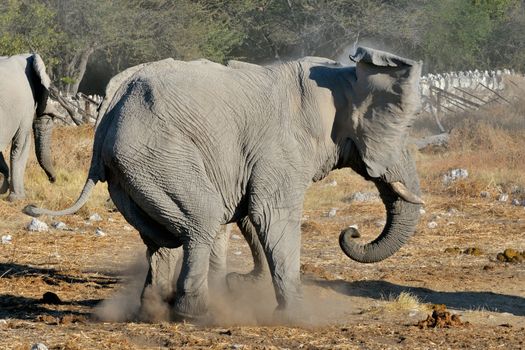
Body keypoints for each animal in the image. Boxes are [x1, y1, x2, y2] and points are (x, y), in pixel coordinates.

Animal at [26, 47, 424, 322]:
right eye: (397, 129)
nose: (351, 232)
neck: (337, 77)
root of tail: (109, 108)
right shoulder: (280, 148)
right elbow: (269, 214)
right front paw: (298, 316)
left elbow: (249, 214)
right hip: (156, 156)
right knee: (200, 222)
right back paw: (195, 313)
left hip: (129, 175)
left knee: (161, 239)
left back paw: (154, 310)